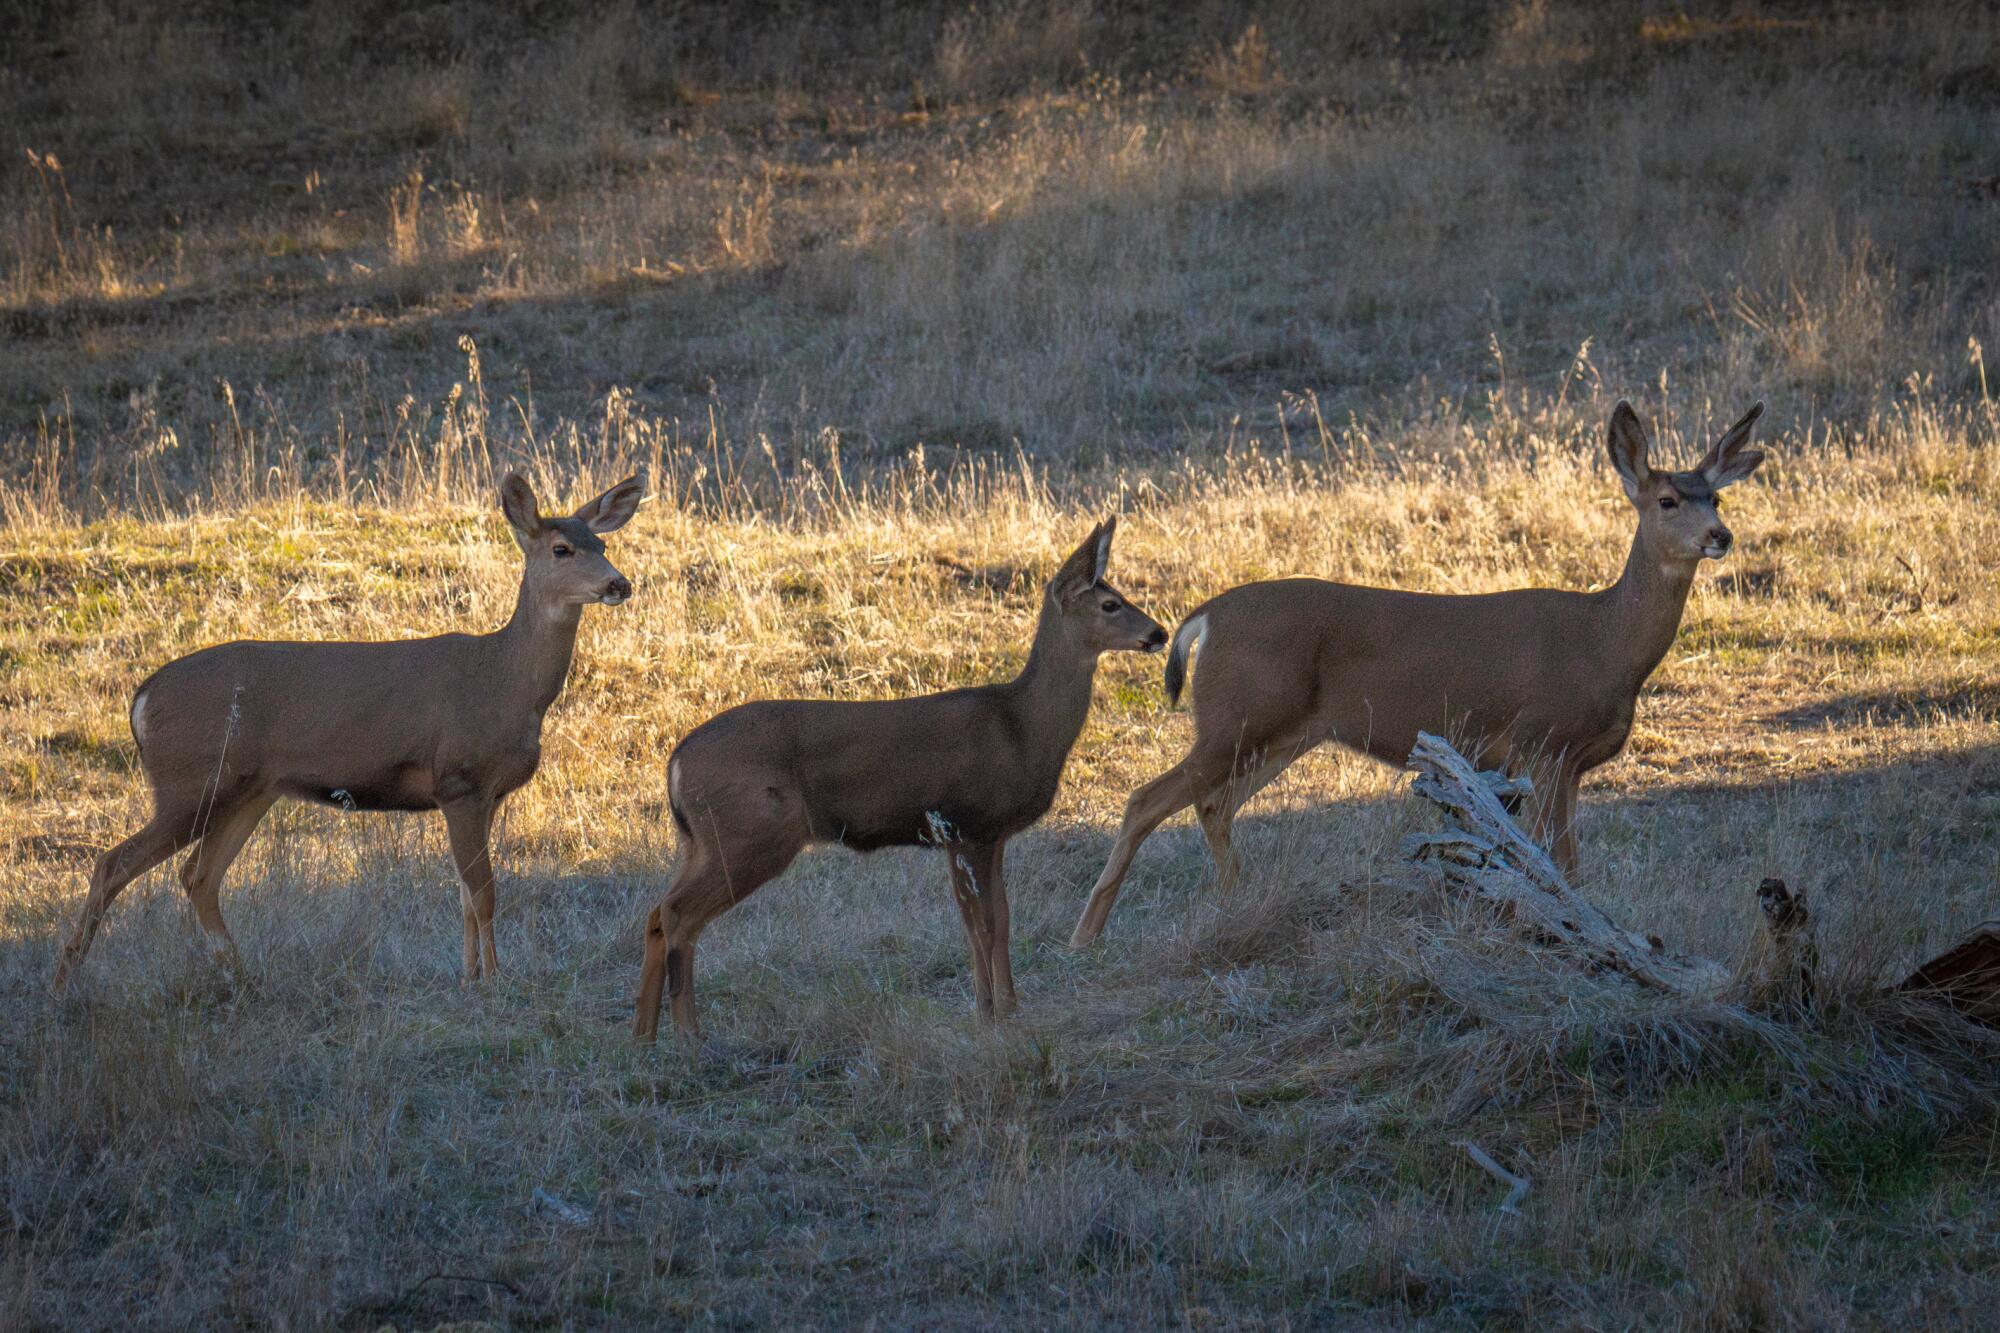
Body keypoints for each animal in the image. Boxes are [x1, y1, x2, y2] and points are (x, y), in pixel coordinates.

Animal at [48, 466, 640, 984]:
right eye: (561, 549)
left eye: (603, 545)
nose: (619, 584)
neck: (505, 682)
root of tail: (142, 698)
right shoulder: (459, 778)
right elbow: (484, 891)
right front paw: (494, 978)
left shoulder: (487, 793)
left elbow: (464, 894)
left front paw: (471, 974)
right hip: (188, 781)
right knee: (113, 863)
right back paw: (66, 981)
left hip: (247, 790)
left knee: (198, 876)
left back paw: (240, 975)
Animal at [636, 512, 1168, 1032]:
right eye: (1111, 604)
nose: (1160, 633)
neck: (1022, 727)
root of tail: (676, 761)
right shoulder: (969, 824)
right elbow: (984, 926)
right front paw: (992, 1015)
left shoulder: (982, 834)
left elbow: (996, 922)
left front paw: (1002, 1007)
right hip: (751, 832)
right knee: (679, 914)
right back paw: (688, 1036)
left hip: (699, 840)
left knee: (658, 912)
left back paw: (644, 1037)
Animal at [1072, 396, 1776, 944]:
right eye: (1667, 500)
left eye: (1716, 496)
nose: (1720, 535)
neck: (1604, 643)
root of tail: (1204, 618)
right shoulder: (1542, 738)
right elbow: (1558, 860)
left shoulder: (1566, 760)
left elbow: (1560, 861)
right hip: (1237, 714)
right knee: (1146, 799)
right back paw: (1086, 936)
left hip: (1281, 731)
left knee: (1215, 804)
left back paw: (1235, 903)